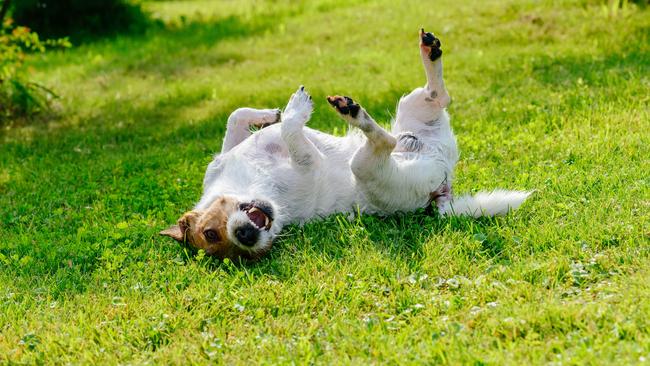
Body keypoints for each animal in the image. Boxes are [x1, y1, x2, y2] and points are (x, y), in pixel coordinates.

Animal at [159, 30, 528, 262]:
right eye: (221, 244)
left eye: (209, 233)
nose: (246, 237)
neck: (251, 185)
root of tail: (443, 185)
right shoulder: (307, 163)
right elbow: (292, 131)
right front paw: (293, 111)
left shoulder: (223, 157)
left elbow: (235, 117)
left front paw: (269, 115)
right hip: (368, 167)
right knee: (386, 140)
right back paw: (353, 113)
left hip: (413, 106)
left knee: (438, 95)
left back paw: (429, 50)